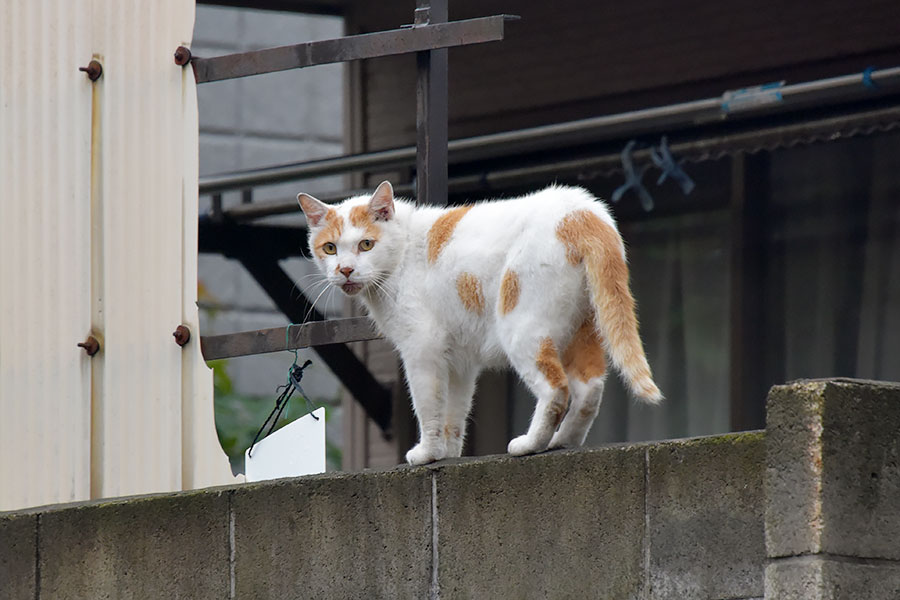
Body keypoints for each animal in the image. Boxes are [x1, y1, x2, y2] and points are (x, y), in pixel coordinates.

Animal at [298, 180, 660, 466]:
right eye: (329, 248)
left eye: (366, 244)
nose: (345, 270)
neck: (402, 252)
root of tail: (583, 212)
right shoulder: (459, 361)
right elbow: (454, 413)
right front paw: (448, 453)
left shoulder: (422, 349)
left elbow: (428, 406)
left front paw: (427, 453)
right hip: (582, 329)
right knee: (589, 390)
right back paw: (562, 442)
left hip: (522, 330)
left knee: (556, 388)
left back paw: (530, 444)